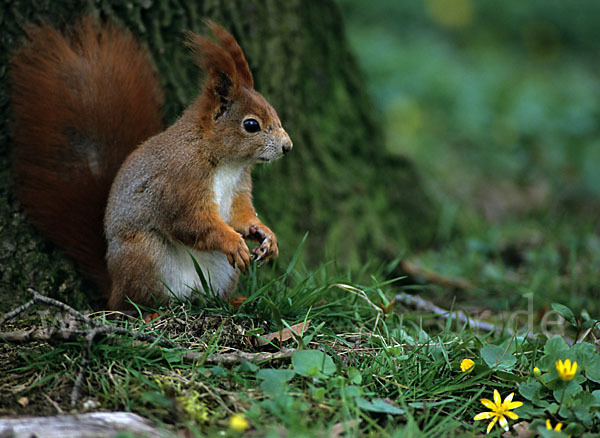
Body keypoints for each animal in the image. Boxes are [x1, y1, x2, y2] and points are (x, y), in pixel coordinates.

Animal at [9, 17, 290, 310]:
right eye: (251, 125)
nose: (288, 146)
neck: (227, 163)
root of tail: (114, 285)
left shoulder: (238, 186)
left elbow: (240, 214)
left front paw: (265, 235)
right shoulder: (180, 181)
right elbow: (191, 221)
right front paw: (233, 241)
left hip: (221, 273)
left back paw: (233, 301)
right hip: (145, 255)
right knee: (132, 305)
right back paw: (149, 312)